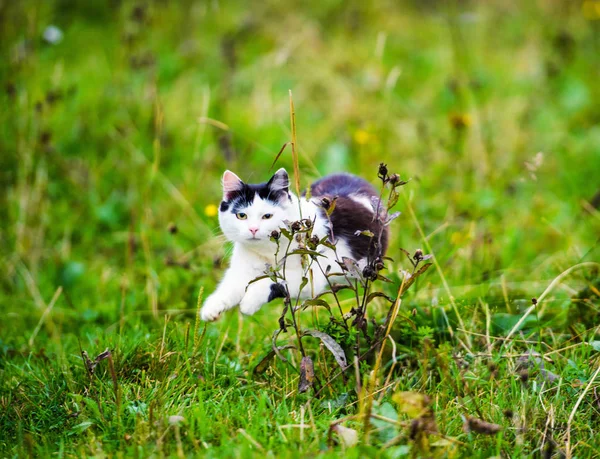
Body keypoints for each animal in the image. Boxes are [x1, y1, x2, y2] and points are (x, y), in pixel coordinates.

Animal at [202, 167, 390, 322]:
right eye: (241, 215)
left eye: (267, 216)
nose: (253, 229)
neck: (269, 251)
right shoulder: (242, 270)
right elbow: (230, 286)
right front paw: (211, 307)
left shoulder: (311, 278)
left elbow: (274, 282)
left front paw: (249, 302)